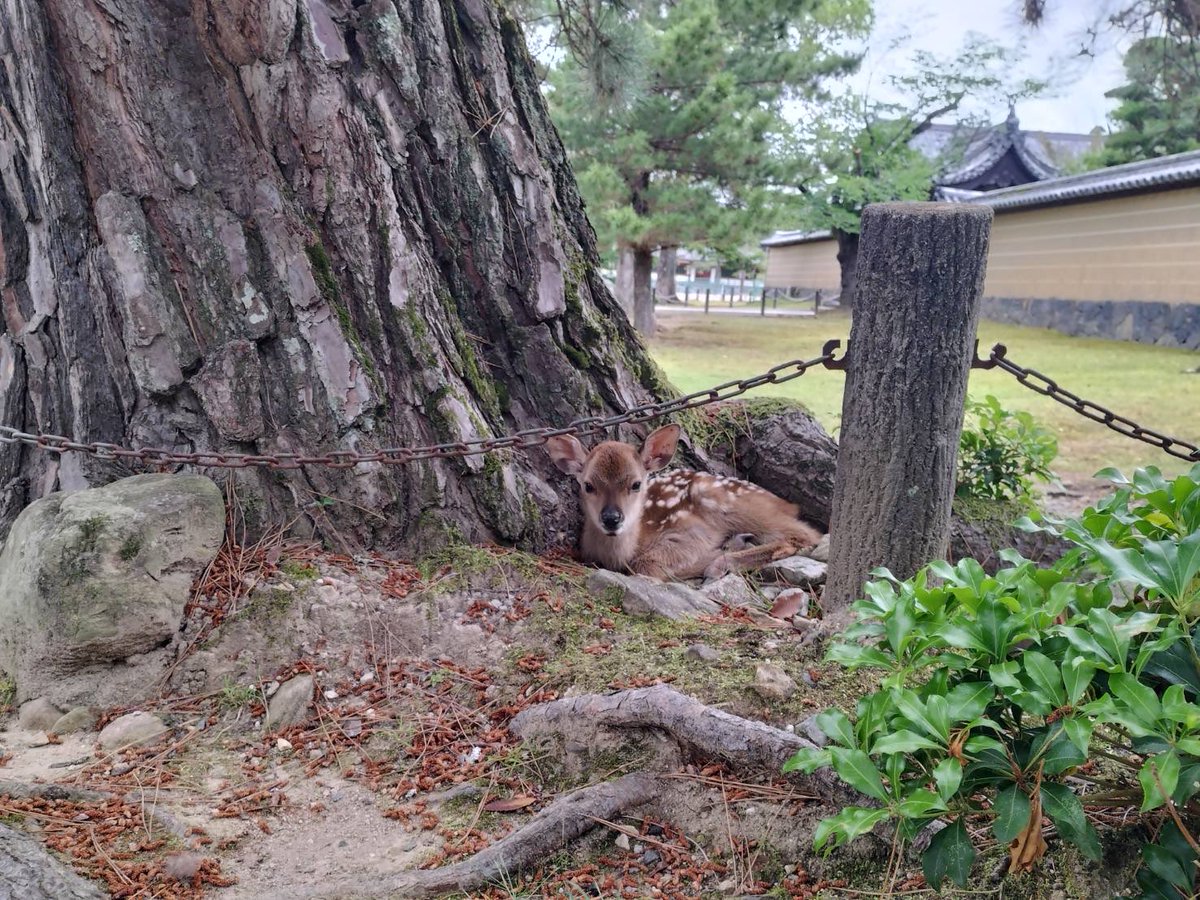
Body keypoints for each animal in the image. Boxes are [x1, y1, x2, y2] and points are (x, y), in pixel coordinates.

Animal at [545, 423, 822, 581]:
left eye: (636, 484)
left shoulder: (690, 531)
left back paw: (722, 560)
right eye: (588, 485)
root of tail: (786, 504)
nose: (612, 518)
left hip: (723, 501)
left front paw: (713, 555)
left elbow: (645, 563)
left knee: (805, 535)